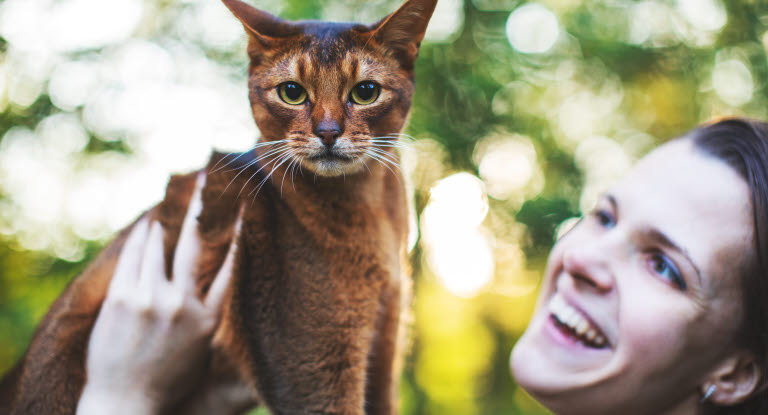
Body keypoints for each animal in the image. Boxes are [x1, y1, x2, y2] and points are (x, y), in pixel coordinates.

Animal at [0, 0, 436, 414]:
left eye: (366, 91)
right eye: (292, 92)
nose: (328, 133)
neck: (375, 210)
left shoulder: (385, 349)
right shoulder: (310, 373)